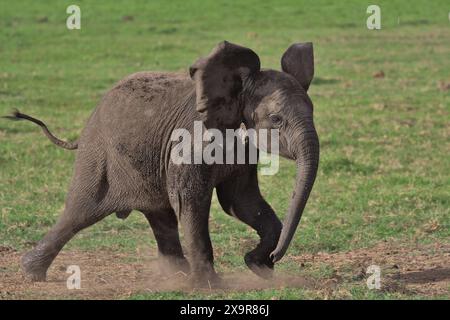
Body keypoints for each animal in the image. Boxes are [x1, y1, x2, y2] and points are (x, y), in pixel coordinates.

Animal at [4, 40, 320, 288]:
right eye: (276, 120)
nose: (274, 257)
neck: (237, 88)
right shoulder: (192, 142)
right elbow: (191, 199)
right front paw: (211, 286)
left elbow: (241, 201)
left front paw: (256, 265)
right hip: (98, 154)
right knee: (79, 211)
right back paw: (30, 273)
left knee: (160, 215)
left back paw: (175, 275)